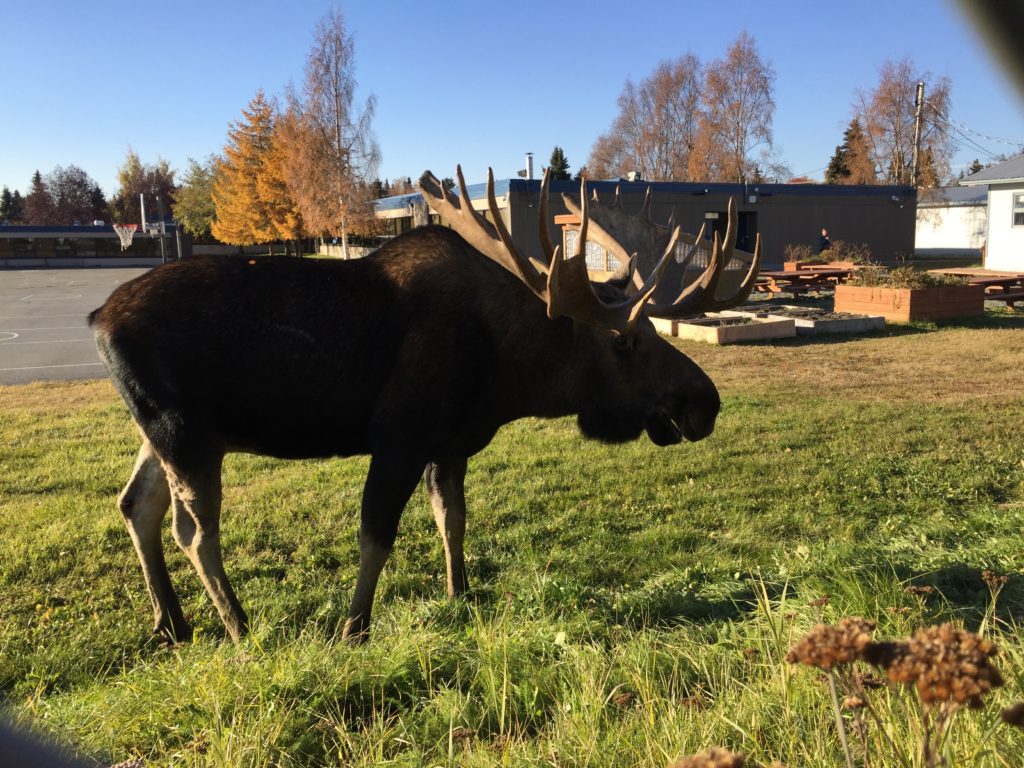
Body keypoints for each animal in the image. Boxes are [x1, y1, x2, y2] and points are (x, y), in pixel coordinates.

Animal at [88, 166, 761, 643]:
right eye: (624, 340)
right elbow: (376, 536)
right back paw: (238, 626)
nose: (705, 402)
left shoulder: (452, 443)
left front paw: (459, 594)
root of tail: (97, 319)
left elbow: (452, 520)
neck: (508, 377)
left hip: (162, 431)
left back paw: (172, 622)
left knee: (136, 503)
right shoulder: (400, 437)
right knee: (195, 531)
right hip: (185, 433)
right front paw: (353, 629)